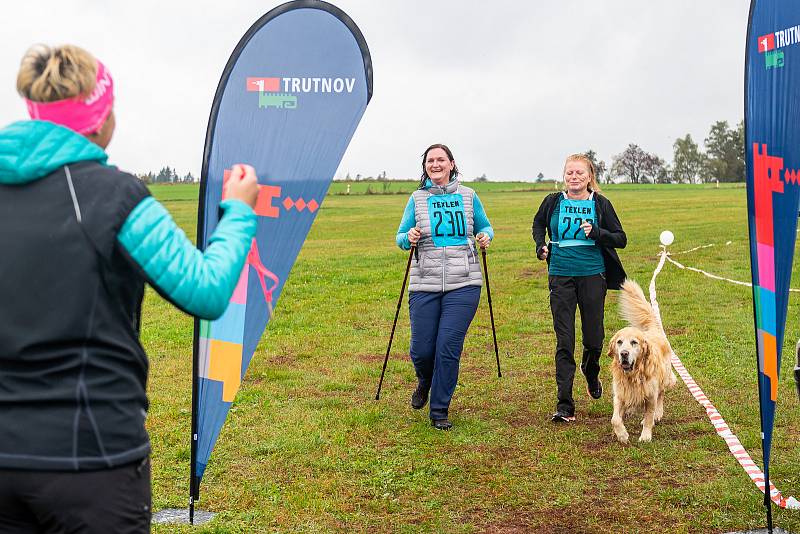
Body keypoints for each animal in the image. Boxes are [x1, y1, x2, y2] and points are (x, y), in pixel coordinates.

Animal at [608, 278, 676, 446]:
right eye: (619, 342)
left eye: (634, 342)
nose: (624, 354)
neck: (633, 375)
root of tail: (654, 329)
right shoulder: (620, 394)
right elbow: (615, 419)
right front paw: (622, 435)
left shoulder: (650, 395)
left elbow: (648, 417)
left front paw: (645, 436)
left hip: (664, 379)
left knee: (661, 395)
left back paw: (658, 414)